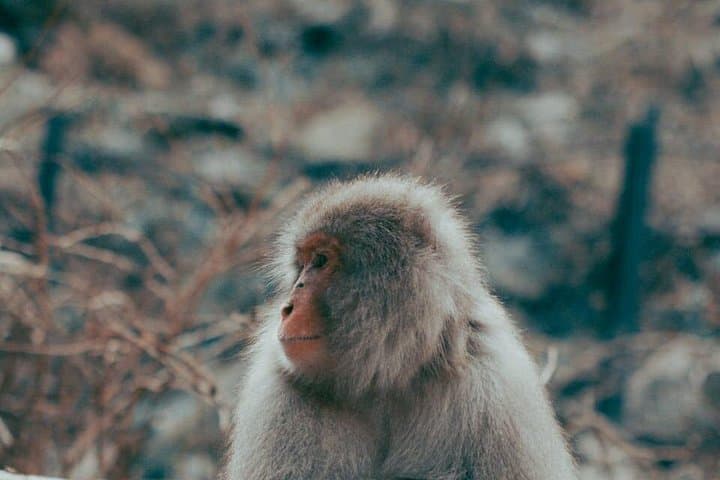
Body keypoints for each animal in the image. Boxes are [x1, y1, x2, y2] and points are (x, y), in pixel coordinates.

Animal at [224, 174, 576, 480]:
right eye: (301, 266)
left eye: (321, 261)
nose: (287, 307)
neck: (387, 375)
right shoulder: (278, 398)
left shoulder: (497, 390)